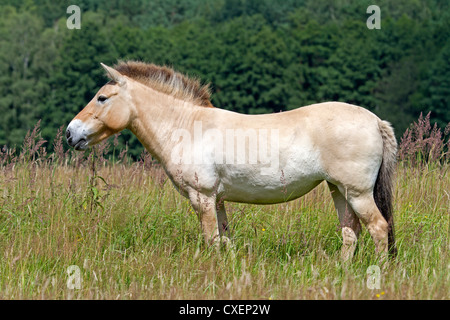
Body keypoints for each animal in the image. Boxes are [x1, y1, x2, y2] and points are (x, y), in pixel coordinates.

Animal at [65, 61, 396, 262]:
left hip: (357, 193)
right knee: (351, 232)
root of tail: (375, 121)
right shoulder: (218, 200)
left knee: (378, 228)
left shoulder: (202, 197)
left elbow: (212, 240)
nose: (70, 133)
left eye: (102, 98)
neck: (187, 126)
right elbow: (225, 240)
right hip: (339, 190)